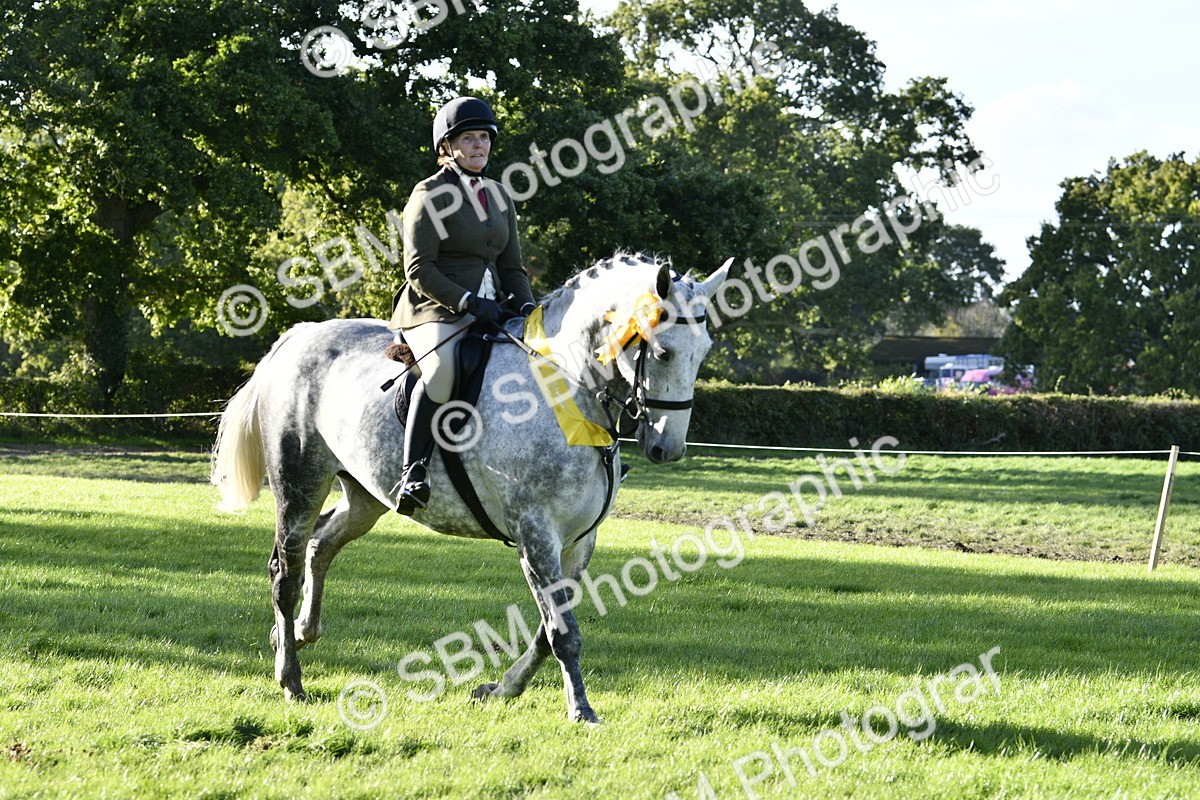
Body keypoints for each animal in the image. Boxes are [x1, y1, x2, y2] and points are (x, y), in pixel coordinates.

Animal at [210, 253, 731, 723]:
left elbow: (548, 631)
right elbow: (562, 632)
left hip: (365, 496)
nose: (667, 448)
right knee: (286, 572)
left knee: (322, 545)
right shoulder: (536, 535)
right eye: (661, 352)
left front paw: (502, 689)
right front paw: (581, 709)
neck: (567, 392)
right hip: (300, 483)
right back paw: (290, 678)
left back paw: (299, 633)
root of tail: (300, 335)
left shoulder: (579, 542)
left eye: (703, 351)